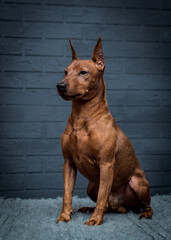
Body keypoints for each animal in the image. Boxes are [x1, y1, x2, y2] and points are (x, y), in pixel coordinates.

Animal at [56, 37, 154, 225]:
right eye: (65, 71)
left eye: (83, 73)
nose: (60, 85)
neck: (82, 117)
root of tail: (121, 205)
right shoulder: (68, 163)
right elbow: (67, 193)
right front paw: (64, 216)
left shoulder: (106, 164)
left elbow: (102, 195)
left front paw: (95, 220)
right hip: (91, 186)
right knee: (108, 205)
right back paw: (90, 208)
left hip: (138, 183)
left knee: (142, 204)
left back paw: (145, 213)